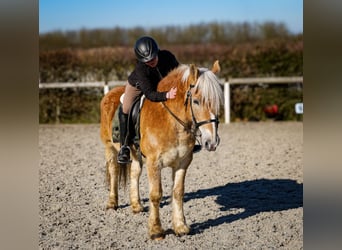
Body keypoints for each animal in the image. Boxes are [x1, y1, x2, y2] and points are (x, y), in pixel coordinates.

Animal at [100, 59, 224, 239]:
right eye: (196, 101)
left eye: (217, 102)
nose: (212, 142)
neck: (171, 122)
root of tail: (110, 94)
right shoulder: (154, 163)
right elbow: (156, 194)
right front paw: (156, 230)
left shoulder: (182, 163)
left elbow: (178, 192)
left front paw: (180, 227)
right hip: (110, 147)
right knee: (114, 171)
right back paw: (112, 203)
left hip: (135, 153)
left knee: (134, 172)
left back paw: (136, 205)